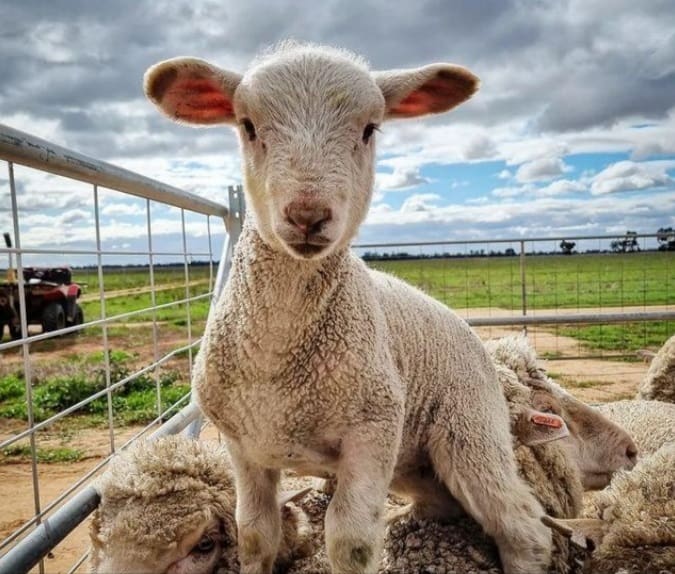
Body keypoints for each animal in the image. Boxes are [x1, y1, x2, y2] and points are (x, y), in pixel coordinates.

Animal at [144, 42, 555, 574]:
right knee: (444, 504)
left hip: (469, 432)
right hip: (415, 461)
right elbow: (254, 533)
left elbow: (350, 541)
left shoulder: (373, 430)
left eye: (369, 129)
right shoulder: (243, 444)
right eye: (248, 125)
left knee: (524, 525)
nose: (308, 214)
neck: (277, 359)